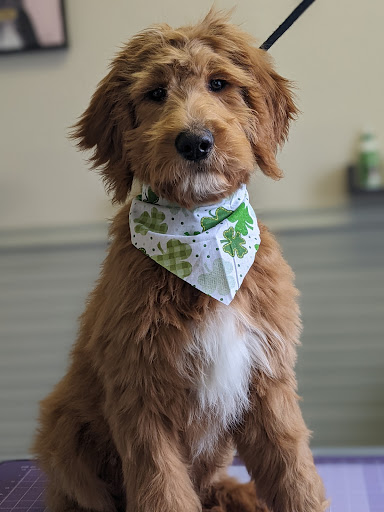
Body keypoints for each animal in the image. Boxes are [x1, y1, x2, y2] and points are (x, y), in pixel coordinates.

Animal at [32, 9, 328, 512]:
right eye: (155, 93)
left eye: (219, 83)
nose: (194, 142)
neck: (200, 238)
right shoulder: (139, 392)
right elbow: (163, 488)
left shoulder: (267, 380)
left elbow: (293, 473)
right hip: (61, 428)